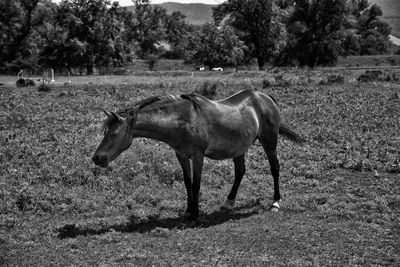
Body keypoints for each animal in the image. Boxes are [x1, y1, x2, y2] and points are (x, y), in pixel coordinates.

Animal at [91, 89, 304, 220]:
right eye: (105, 132)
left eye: (114, 134)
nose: (97, 158)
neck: (182, 120)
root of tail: (263, 96)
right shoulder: (181, 155)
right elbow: (187, 182)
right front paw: (188, 210)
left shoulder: (197, 155)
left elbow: (196, 183)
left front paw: (195, 214)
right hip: (239, 148)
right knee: (240, 172)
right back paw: (228, 203)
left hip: (269, 142)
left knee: (275, 168)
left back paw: (275, 202)